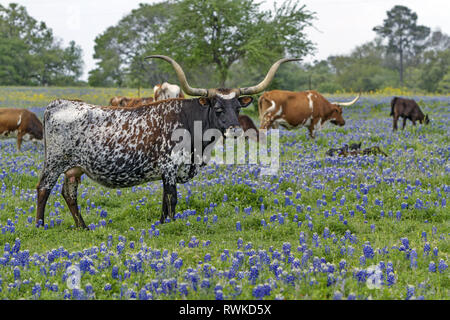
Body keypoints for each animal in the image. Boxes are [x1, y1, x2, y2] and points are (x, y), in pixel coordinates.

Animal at [36, 56, 298, 229]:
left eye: (237, 107)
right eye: (218, 107)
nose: (235, 129)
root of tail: (57, 103)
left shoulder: (168, 171)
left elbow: (164, 199)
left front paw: (161, 223)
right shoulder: (170, 167)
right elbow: (172, 198)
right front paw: (171, 225)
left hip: (74, 168)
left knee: (69, 193)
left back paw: (83, 226)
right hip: (55, 161)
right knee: (44, 189)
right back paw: (40, 225)